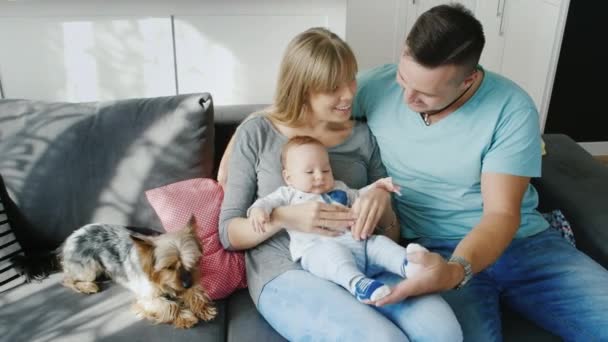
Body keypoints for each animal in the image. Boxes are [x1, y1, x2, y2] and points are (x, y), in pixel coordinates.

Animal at [13, 219, 218, 328]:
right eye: (168, 267)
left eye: (194, 262)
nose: (187, 283)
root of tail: (66, 241)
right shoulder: (147, 296)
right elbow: (169, 306)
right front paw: (186, 317)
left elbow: (196, 292)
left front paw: (203, 308)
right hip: (88, 267)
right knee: (67, 278)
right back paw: (88, 286)